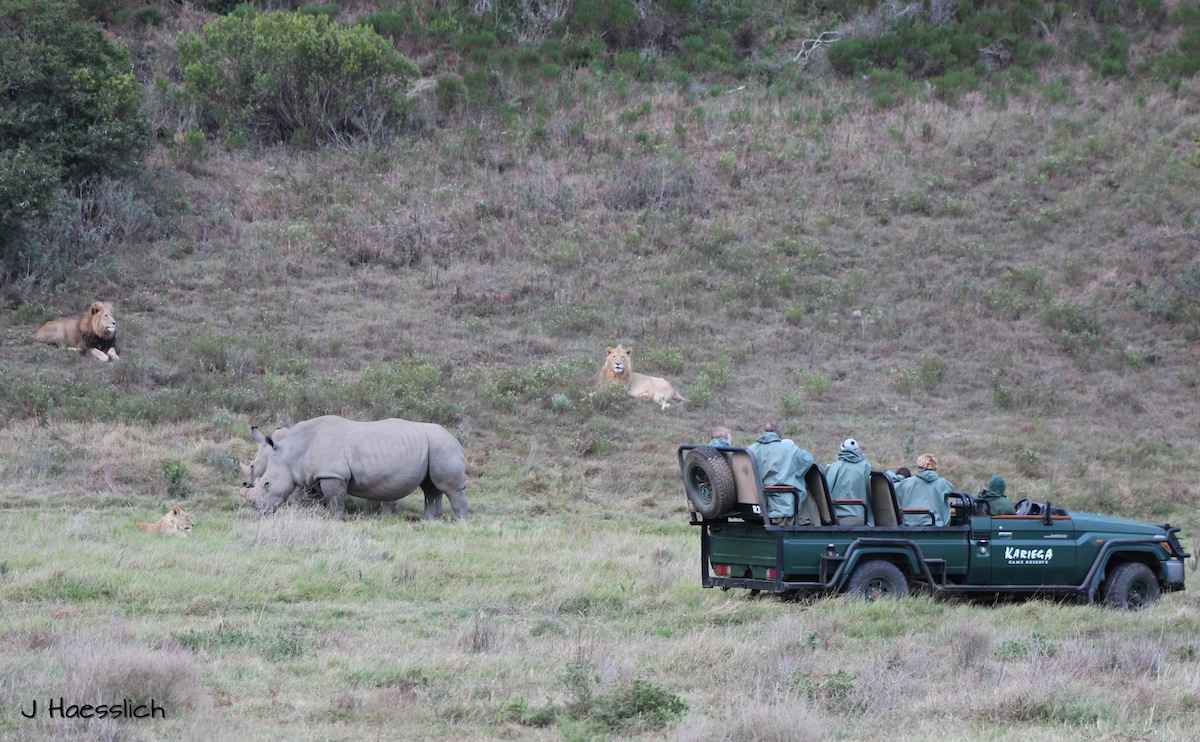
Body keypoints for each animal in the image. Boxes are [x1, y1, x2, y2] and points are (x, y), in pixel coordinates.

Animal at [248, 413, 468, 516]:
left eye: (267, 484)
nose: (259, 510)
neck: (294, 451)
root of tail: (456, 440)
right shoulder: (316, 475)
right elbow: (319, 498)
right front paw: (317, 514)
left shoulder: (333, 474)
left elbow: (335, 501)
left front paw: (334, 519)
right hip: (435, 446)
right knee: (431, 488)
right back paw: (429, 522)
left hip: (442, 446)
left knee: (449, 489)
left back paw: (461, 523)